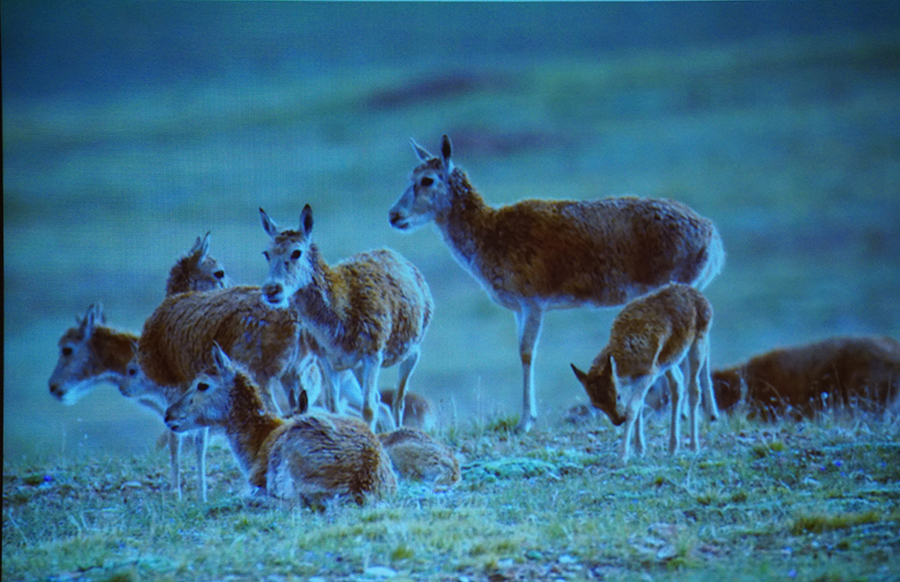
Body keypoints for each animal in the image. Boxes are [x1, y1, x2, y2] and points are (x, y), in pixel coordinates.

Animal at [258, 205, 434, 434]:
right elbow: (334, 408)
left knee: (398, 398)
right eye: (266, 253)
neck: (342, 311)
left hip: (409, 351)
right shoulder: (328, 360)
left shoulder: (372, 355)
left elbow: (368, 409)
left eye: (296, 252)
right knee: (379, 398)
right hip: (357, 368)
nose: (272, 289)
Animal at [388, 133, 724, 434]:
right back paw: (707, 413)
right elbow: (522, 350)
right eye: (408, 176)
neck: (489, 241)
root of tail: (714, 239)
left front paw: (525, 421)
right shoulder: (518, 307)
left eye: (427, 180)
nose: (394, 214)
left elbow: (526, 352)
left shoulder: (533, 299)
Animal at [568, 282, 716, 466]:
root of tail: (702, 298)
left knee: (694, 389)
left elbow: (633, 408)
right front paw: (639, 450)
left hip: (698, 342)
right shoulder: (641, 376)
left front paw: (623, 455)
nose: (618, 420)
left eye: (617, 396)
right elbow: (639, 407)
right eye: (596, 403)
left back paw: (694, 446)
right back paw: (673, 447)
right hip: (669, 362)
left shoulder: (648, 374)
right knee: (678, 384)